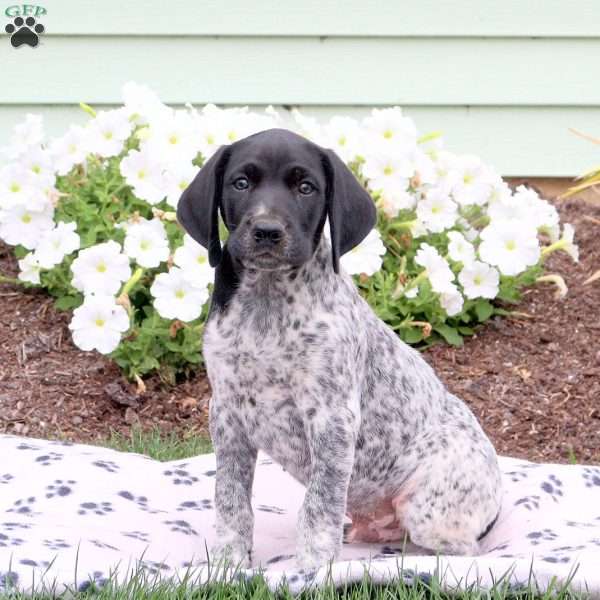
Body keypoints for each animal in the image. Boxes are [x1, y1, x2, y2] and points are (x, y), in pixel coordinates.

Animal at [177, 129, 502, 568]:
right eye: (240, 183)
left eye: (306, 188)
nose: (267, 231)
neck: (267, 305)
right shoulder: (227, 414)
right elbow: (230, 499)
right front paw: (230, 561)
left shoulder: (331, 419)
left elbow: (319, 505)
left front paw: (311, 569)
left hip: (427, 508)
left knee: (465, 553)